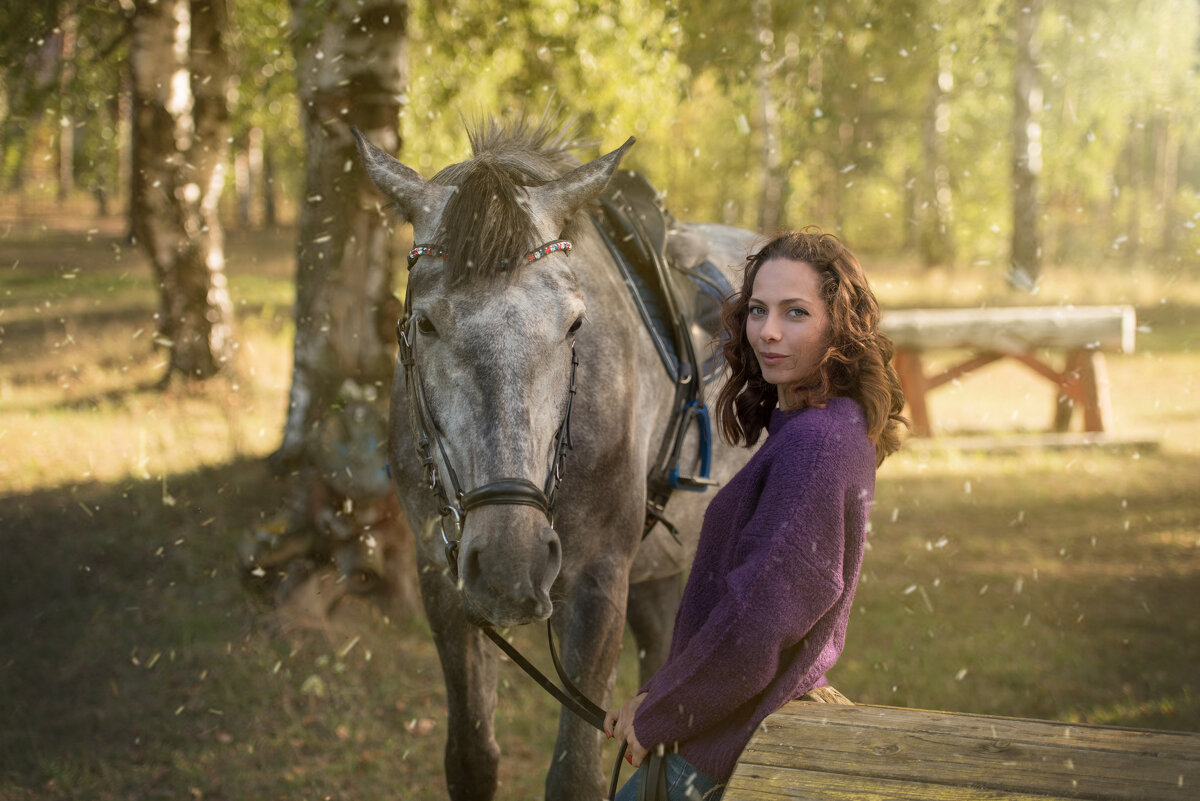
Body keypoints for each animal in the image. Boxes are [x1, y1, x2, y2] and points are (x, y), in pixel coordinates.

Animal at [355, 120, 758, 801]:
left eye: (574, 325)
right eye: (425, 324)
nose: (509, 564)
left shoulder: (597, 581)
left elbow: (575, 775)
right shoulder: (442, 579)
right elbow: (471, 757)